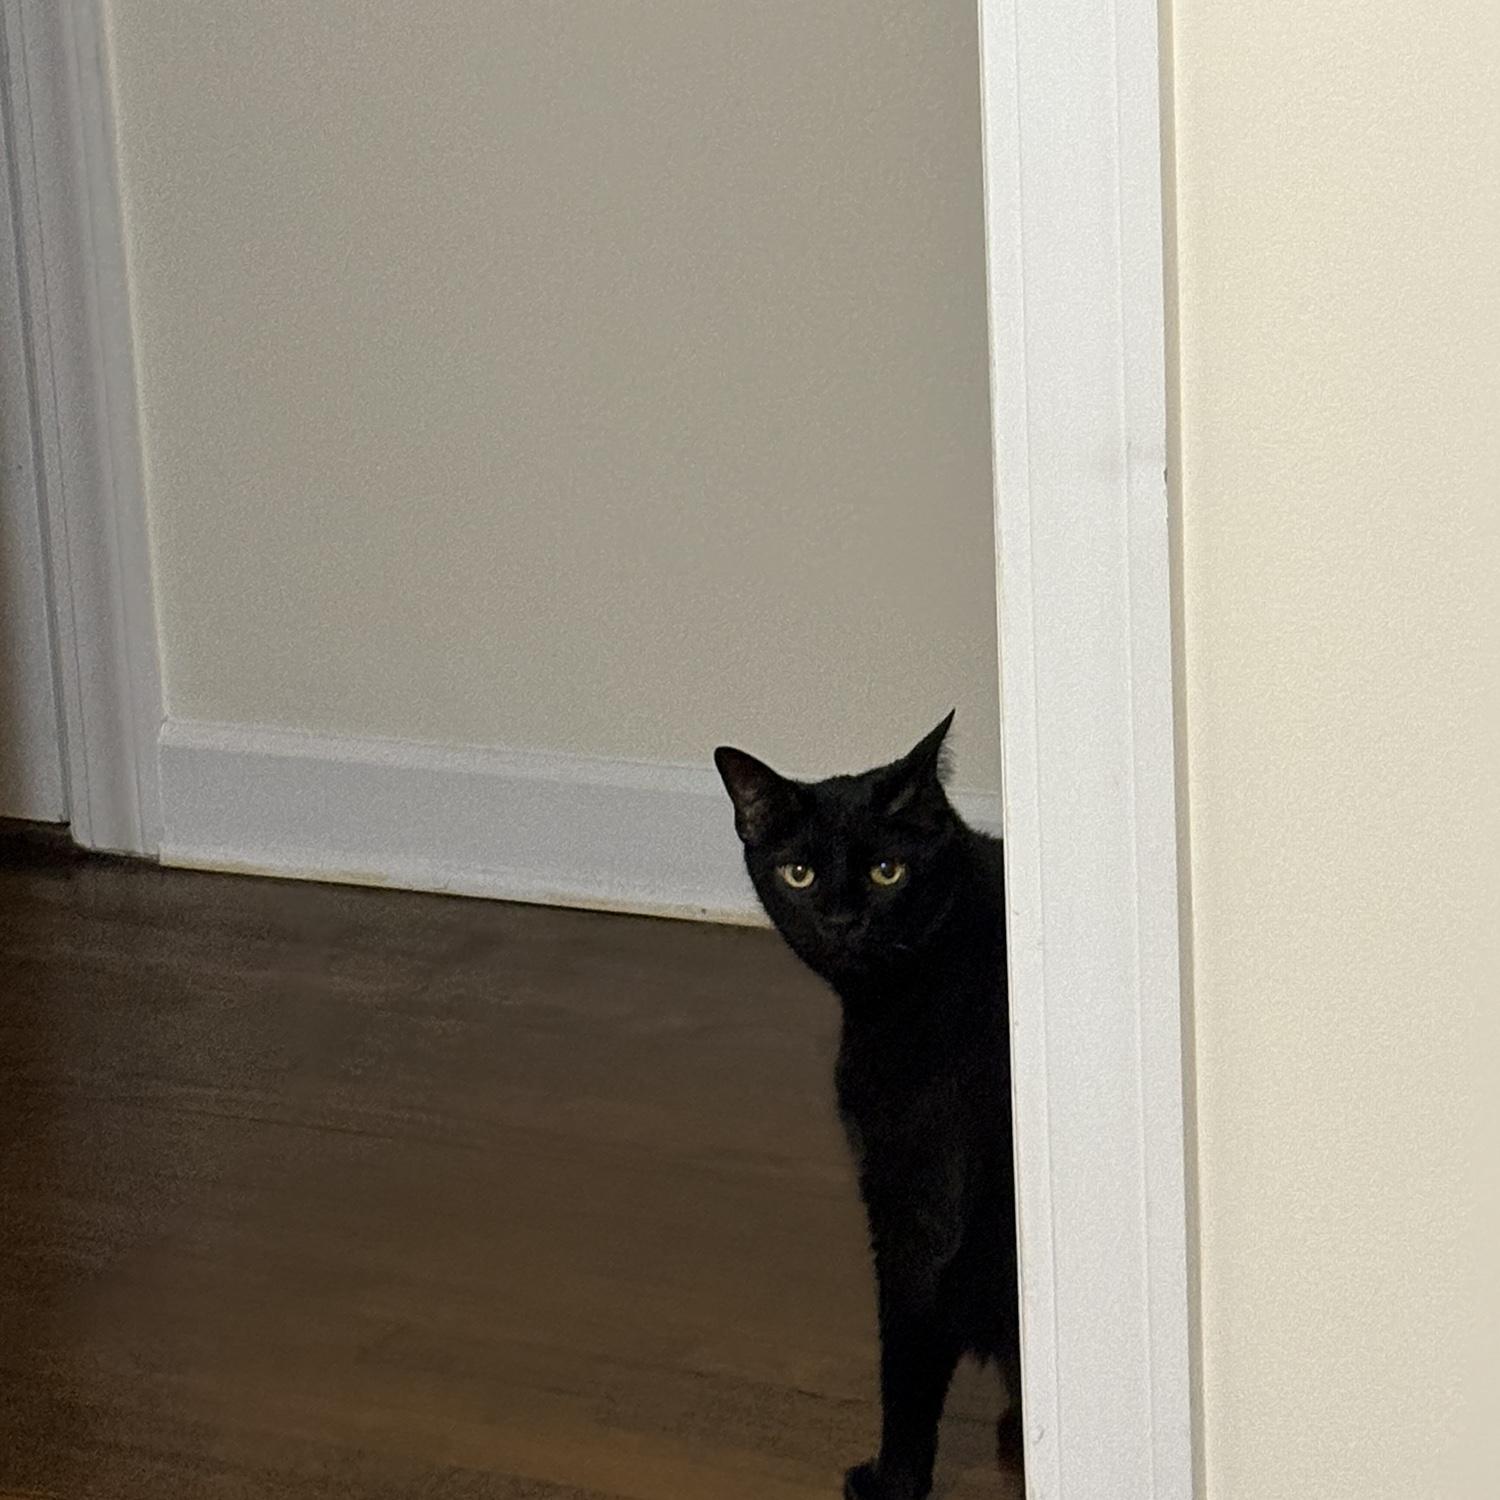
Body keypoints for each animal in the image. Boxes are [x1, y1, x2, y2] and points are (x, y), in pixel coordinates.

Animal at [714, 712, 1020, 1500]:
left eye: (889, 871)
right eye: (800, 873)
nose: (842, 919)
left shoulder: (916, 1214)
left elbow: (904, 1363)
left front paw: (894, 1480)